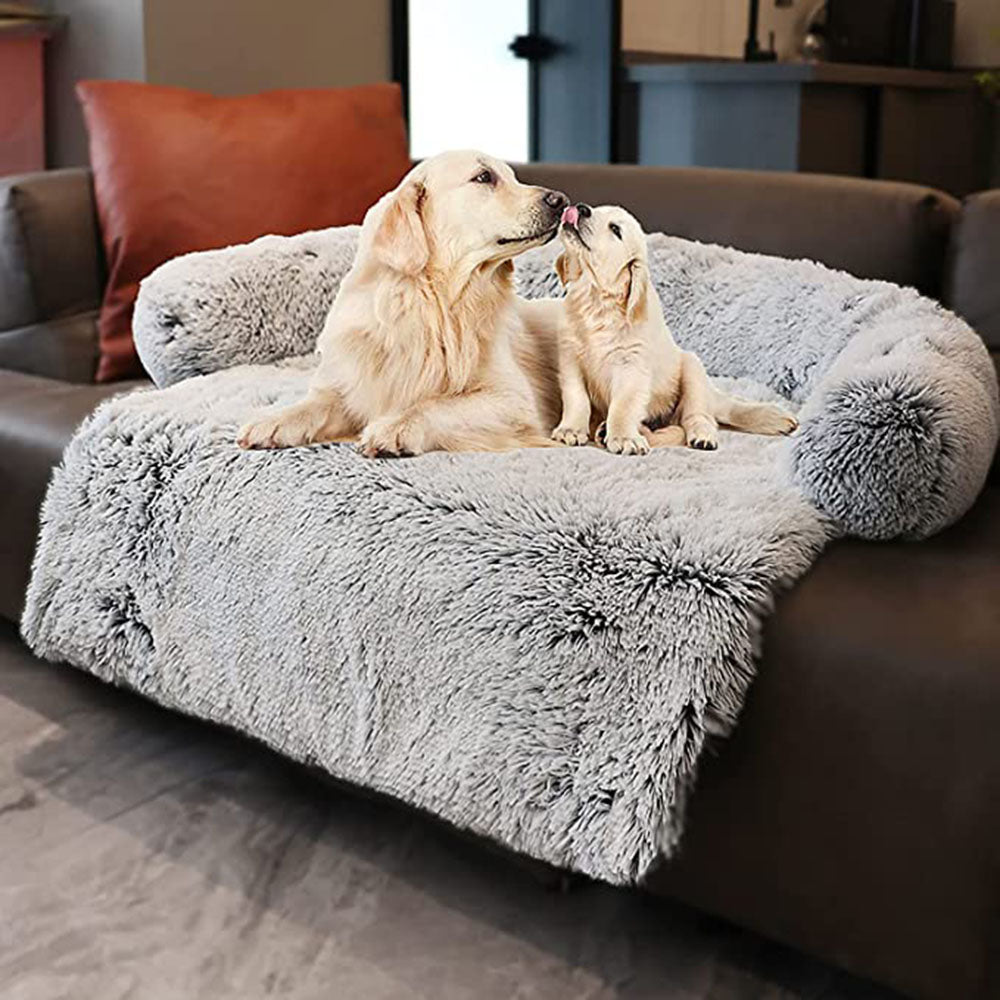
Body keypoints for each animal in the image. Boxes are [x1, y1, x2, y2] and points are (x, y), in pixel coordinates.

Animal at [232, 150, 564, 456]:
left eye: (513, 176)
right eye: (484, 177)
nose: (560, 200)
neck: (432, 303)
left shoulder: (513, 399)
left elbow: (435, 404)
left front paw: (395, 427)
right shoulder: (349, 384)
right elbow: (315, 403)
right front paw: (273, 422)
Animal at [548, 207, 796, 458]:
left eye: (615, 229)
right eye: (596, 210)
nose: (581, 208)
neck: (596, 301)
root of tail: (713, 395)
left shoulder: (632, 367)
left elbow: (623, 406)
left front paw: (624, 438)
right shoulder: (570, 360)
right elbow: (576, 398)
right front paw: (570, 429)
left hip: (692, 369)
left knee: (698, 417)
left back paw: (702, 436)